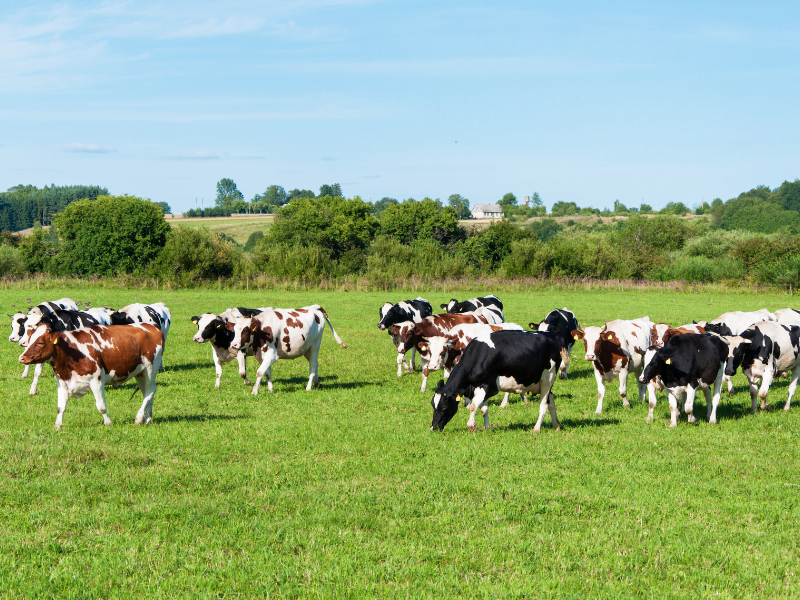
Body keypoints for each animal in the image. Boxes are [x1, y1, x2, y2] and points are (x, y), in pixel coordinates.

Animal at [18, 324, 164, 432]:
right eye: (29, 341)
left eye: (40, 342)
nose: (22, 358)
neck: (70, 353)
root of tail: (152, 327)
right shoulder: (63, 383)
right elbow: (60, 407)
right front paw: (57, 426)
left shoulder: (96, 381)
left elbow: (101, 406)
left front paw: (108, 423)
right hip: (140, 373)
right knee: (147, 393)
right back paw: (147, 419)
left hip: (151, 368)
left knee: (150, 391)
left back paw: (138, 419)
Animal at [428, 330, 564, 434]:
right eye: (433, 405)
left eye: (444, 407)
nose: (433, 427)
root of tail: (552, 336)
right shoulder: (479, 387)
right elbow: (484, 410)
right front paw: (487, 428)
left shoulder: (489, 387)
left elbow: (473, 406)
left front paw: (472, 427)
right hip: (541, 383)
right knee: (551, 401)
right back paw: (556, 426)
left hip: (548, 378)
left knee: (544, 404)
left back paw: (536, 429)